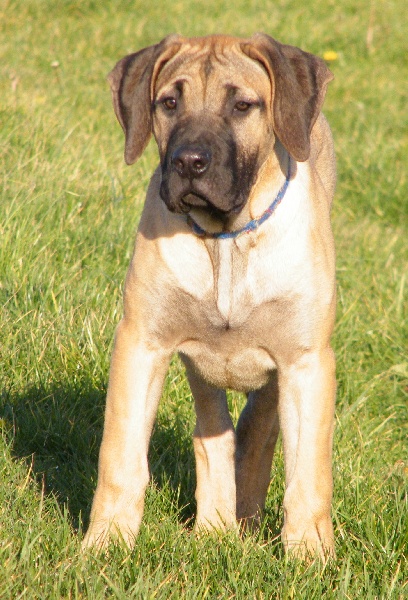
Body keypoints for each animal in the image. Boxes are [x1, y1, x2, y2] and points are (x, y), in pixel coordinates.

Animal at [82, 32, 334, 556]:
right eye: (169, 103)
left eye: (242, 105)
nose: (188, 162)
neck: (226, 239)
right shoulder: (142, 343)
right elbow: (120, 458)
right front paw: (106, 544)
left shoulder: (306, 360)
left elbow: (308, 475)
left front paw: (310, 555)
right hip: (197, 362)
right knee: (212, 432)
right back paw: (215, 527)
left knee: (258, 431)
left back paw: (245, 519)